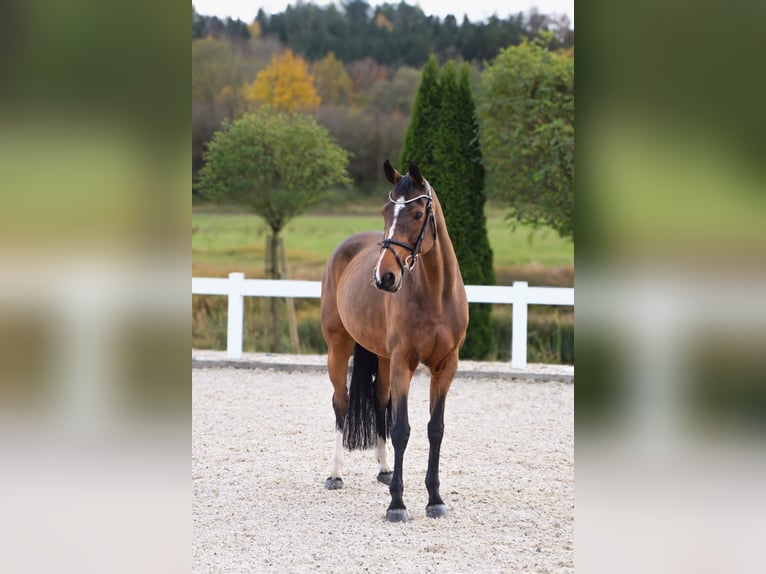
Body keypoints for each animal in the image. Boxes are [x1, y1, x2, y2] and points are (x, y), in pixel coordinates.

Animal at [320, 159, 469, 522]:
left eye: (416, 214)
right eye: (386, 212)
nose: (384, 277)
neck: (435, 294)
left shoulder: (446, 367)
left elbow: (435, 429)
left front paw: (434, 500)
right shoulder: (404, 363)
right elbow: (402, 429)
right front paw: (397, 505)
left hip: (384, 359)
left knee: (378, 401)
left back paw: (385, 470)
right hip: (338, 348)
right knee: (341, 403)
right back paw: (335, 474)